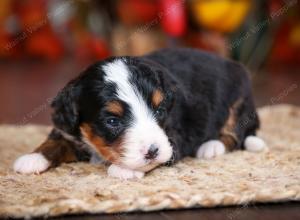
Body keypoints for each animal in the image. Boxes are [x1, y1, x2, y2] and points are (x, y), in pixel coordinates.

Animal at [12, 47, 266, 179]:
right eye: (112, 121)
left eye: (160, 110)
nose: (152, 151)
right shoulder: (69, 128)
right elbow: (55, 141)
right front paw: (32, 158)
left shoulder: (174, 137)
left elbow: (164, 154)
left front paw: (123, 169)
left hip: (238, 99)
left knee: (235, 135)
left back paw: (211, 147)